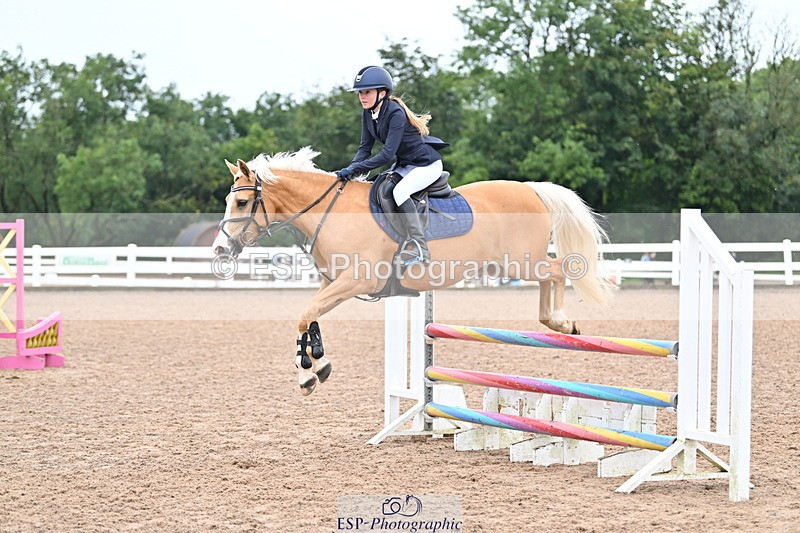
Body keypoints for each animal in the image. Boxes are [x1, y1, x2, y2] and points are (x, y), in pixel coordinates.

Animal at [212, 147, 616, 395]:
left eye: (242, 202)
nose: (219, 249)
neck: (331, 212)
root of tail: (530, 189)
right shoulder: (333, 282)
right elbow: (307, 318)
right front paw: (312, 370)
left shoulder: (357, 279)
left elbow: (306, 313)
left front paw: (314, 368)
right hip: (511, 262)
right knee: (552, 276)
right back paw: (557, 323)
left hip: (521, 260)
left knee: (558, 271)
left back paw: (561, 321)